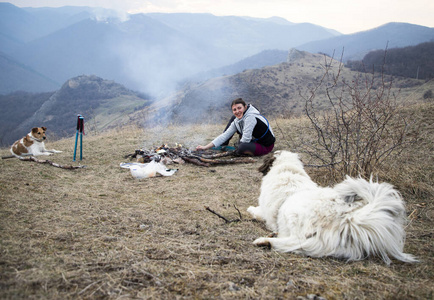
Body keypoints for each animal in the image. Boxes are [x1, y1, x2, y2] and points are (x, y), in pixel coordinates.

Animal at [249, 151, 418, 264]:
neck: (288, 169)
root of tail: (348, 218)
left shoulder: (266, 212)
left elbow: (255, 211)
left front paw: (251, 210)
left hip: (293, 214)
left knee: (297, 241)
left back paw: (266, 241)